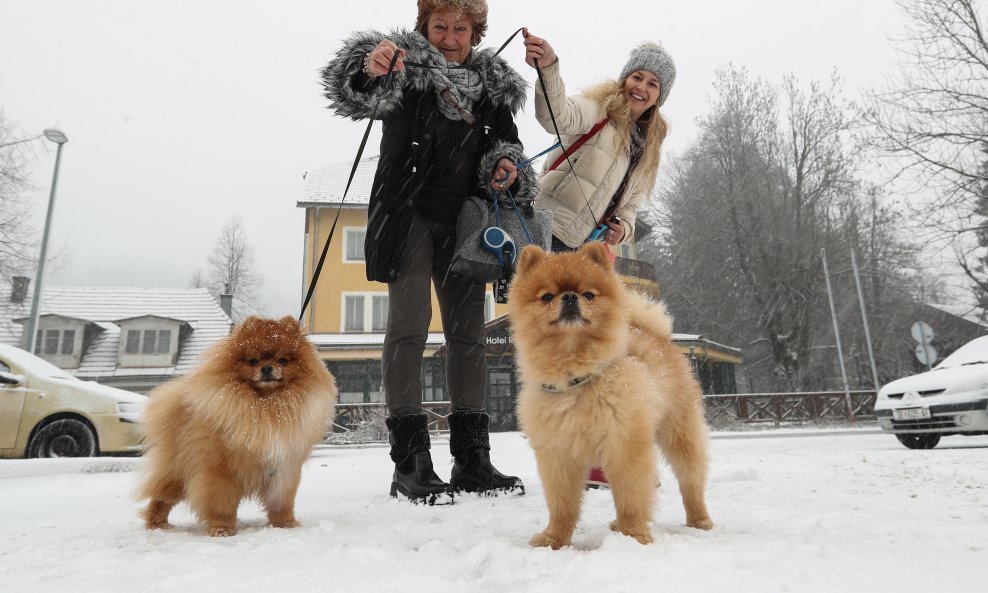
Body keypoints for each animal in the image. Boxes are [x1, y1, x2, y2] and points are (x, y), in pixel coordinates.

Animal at [135, 316, 338, 536]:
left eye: (282, 360)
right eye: (253, 361)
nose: (267, 368)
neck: (267, 405)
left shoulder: (284, 469)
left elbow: (281, 502)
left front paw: (285, 524)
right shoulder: (220, 471)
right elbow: (221, 503)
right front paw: (221, 529)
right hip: (178, 473)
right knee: (160, 498)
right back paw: (157, 525)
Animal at [510, 243, 712, 548]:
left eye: (588, 295)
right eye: (546, 297)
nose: (569, 296)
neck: (577, 378)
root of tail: (654, 334)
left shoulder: (624, 446)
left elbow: (630, 498)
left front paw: (634, 536)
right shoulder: (558, 456)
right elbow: (562, 506)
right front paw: (554, 539)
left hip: (679, 435)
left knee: (690, 480)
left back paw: (698, 520)